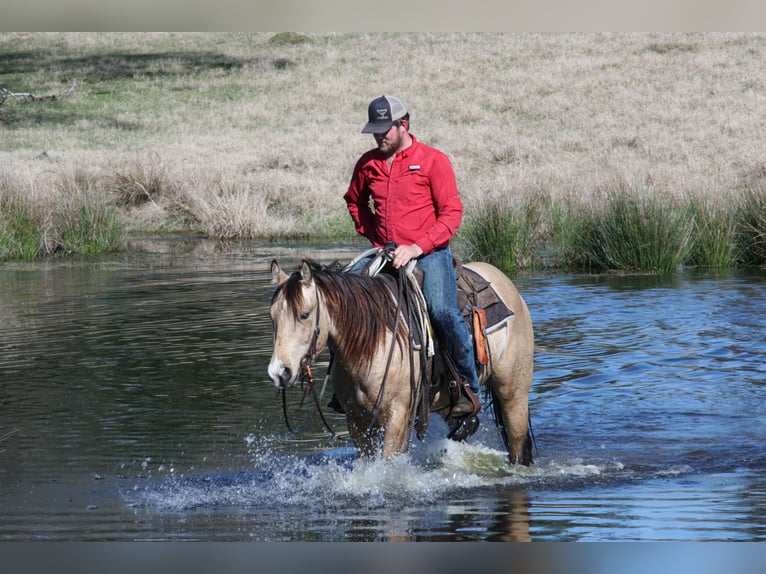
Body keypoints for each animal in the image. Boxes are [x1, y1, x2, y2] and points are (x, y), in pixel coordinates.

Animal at [268, 258, 536, 468]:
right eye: (272, 317)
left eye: (304, 314)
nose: (279, 372)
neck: (372, 342)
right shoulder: (357, 421)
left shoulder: (397, 416)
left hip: (513, 395)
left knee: (517, 444)